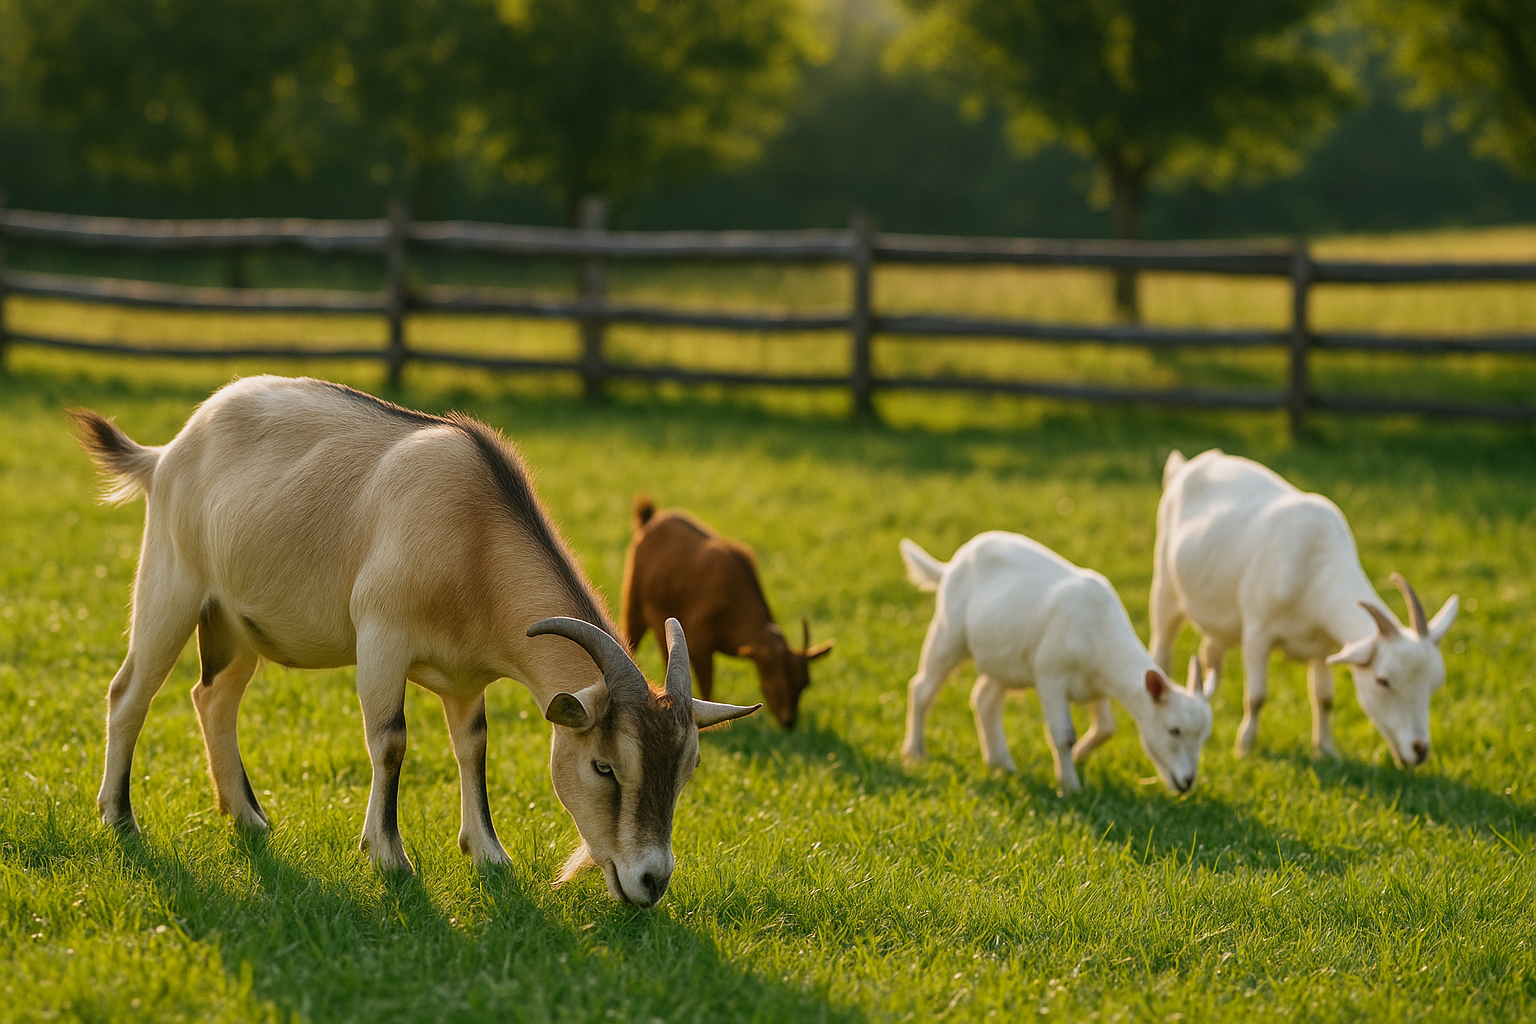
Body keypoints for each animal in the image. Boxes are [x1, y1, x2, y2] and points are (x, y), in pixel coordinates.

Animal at [73, 376, 758, 906]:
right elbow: (391, 741)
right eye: (604, 766)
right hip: (171, 585)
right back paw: (120, 818)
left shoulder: (466, 679)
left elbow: (473, 748)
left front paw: (489, 854)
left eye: (689, 767)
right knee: (129, 692)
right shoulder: (380, 638)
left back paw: (248, 817)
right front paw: (389, 856)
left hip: (236, 625)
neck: (474, 537)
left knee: (212, 697)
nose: (651, 882)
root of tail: (167, 452)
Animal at [620, 497, 832, 729]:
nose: (789, 722)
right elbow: (706, 685)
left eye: (804, 682)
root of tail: (650, 518)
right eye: (777, 675)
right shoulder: (698, 640)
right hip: (633, 603)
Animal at [899, 532, 1212, 794]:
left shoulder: (1095, 684)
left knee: (984, 699)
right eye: (1174, 730)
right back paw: (914, 752)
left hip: (1005, 659)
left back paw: (1001, 763)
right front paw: (1070, 786)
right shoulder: (1050, 676)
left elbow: (1107, 728)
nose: (1187, 782)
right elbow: (1064, 736)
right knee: (922, 688)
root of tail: (951, 565)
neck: (1100, 629)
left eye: (1204, 737)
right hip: (948, 632)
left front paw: (1080, 756)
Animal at [1150, 448, 1458, 766]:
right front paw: (1244, 746)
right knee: (1162, 646)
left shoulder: (1324, 647)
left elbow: (1324, 698)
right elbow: (1256, 697)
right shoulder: (1257, 634)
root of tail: (1187, 465)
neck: (1313, 562)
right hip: (1165, 587)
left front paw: (1326, 749)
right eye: (1383, 681)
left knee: (1210, 652)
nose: (1419, 750)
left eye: (1435, 685)